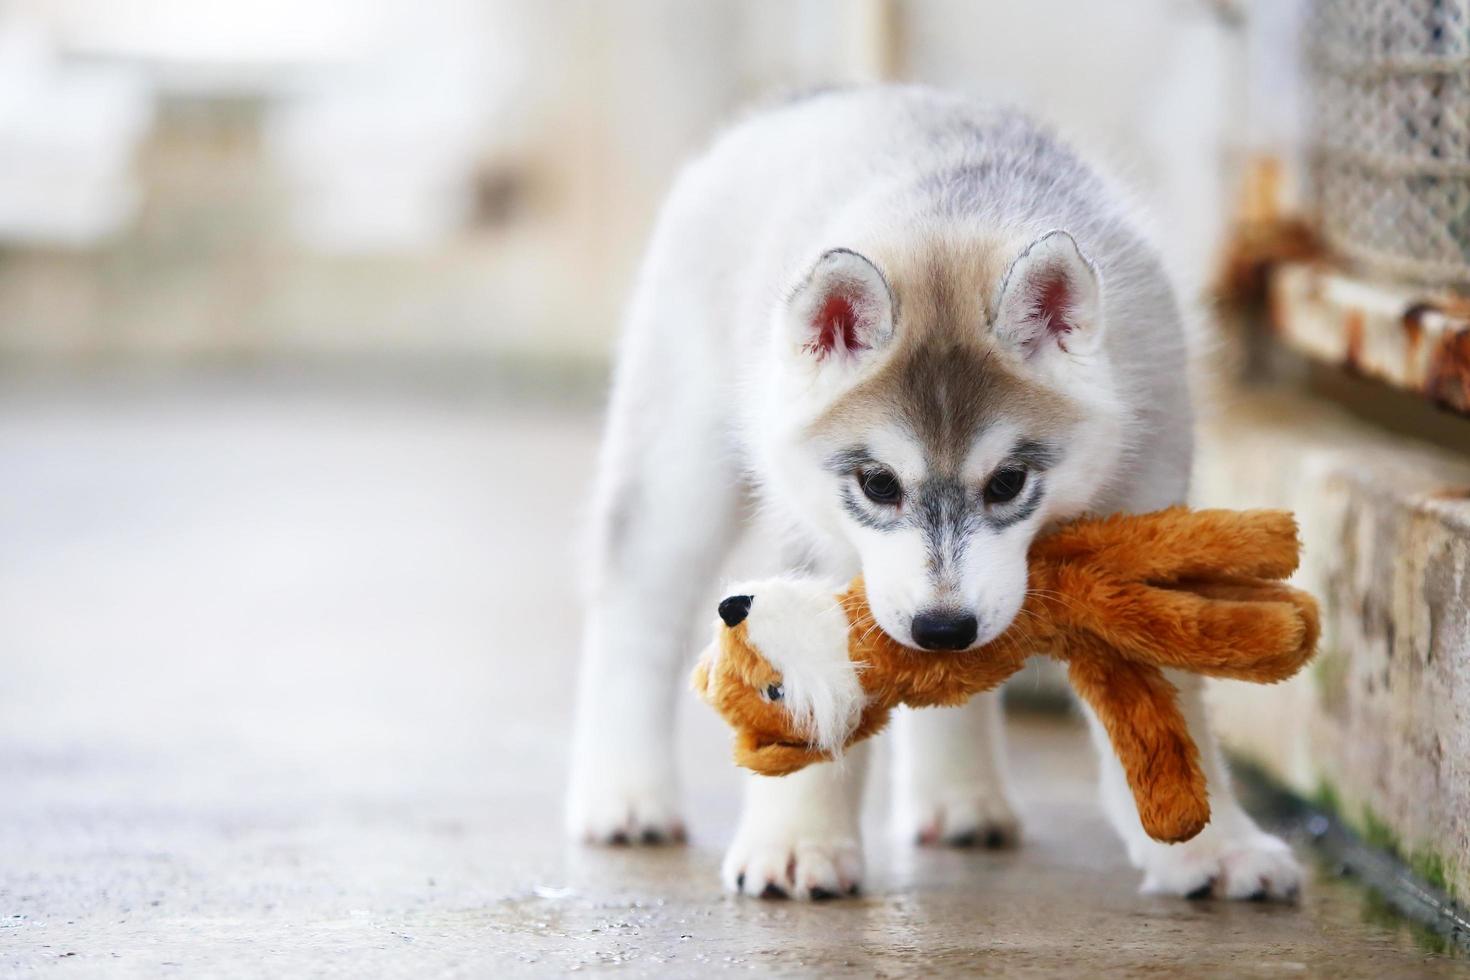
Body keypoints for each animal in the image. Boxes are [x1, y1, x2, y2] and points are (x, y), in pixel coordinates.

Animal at [561, 86, 1299, 905]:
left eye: (1008, 482)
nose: (943, 627)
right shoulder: (815, 534)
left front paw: (1215, 847)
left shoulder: (1145, 500)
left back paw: (961, 800)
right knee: (638, 610)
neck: (950, 219)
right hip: (678, 462)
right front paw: (799, 840)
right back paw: (625, 796)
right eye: (878, 484)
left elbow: (1174, 696)